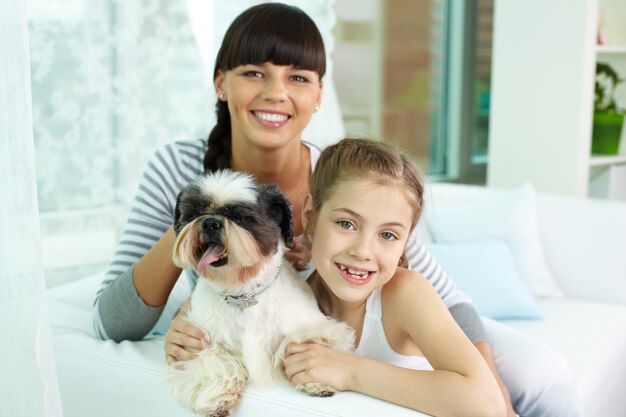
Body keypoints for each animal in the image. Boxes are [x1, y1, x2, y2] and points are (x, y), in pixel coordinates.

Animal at [163, 170, 354, 416]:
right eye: (195, 213)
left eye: (242, 218)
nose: (210, 222)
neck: (244, 296)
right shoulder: (198, 341)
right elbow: (216, 363)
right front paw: (218, 398)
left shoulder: (313, 325)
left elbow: (306, 344)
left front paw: (316, 381)